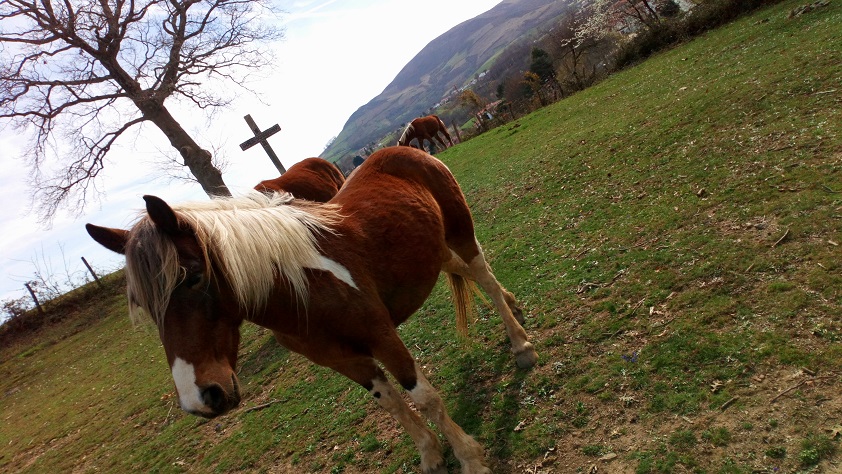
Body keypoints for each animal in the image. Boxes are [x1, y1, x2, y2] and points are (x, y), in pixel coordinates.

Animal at [83, 146, 532, 472]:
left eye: (193, 276)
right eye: (145, 306)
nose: (200, 399)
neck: (302, 289)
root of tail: (405, 148)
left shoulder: (382, 336)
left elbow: (423, 397)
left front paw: (470, 458)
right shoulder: (342, 359)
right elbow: (389, 402)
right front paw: (431, 456)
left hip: (459, 231)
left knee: (482, 274)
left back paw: (521, 343)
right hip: (435, 250)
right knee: (466, 273)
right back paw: (514, 306)